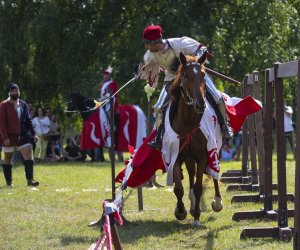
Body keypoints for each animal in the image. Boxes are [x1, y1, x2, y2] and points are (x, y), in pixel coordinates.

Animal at [169, 51, 223, 226]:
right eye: (185, 76)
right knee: (191, 173)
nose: (200, 104)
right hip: (188, 157)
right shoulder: (177, 156)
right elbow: (178, 188)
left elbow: (199, 187)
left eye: (203, 75)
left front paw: (197, 216)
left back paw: (217, 202)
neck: (188, 122)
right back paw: (192, 205)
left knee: (214, 174)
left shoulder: (203, 155)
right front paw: (180, 211)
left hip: (215, 150)